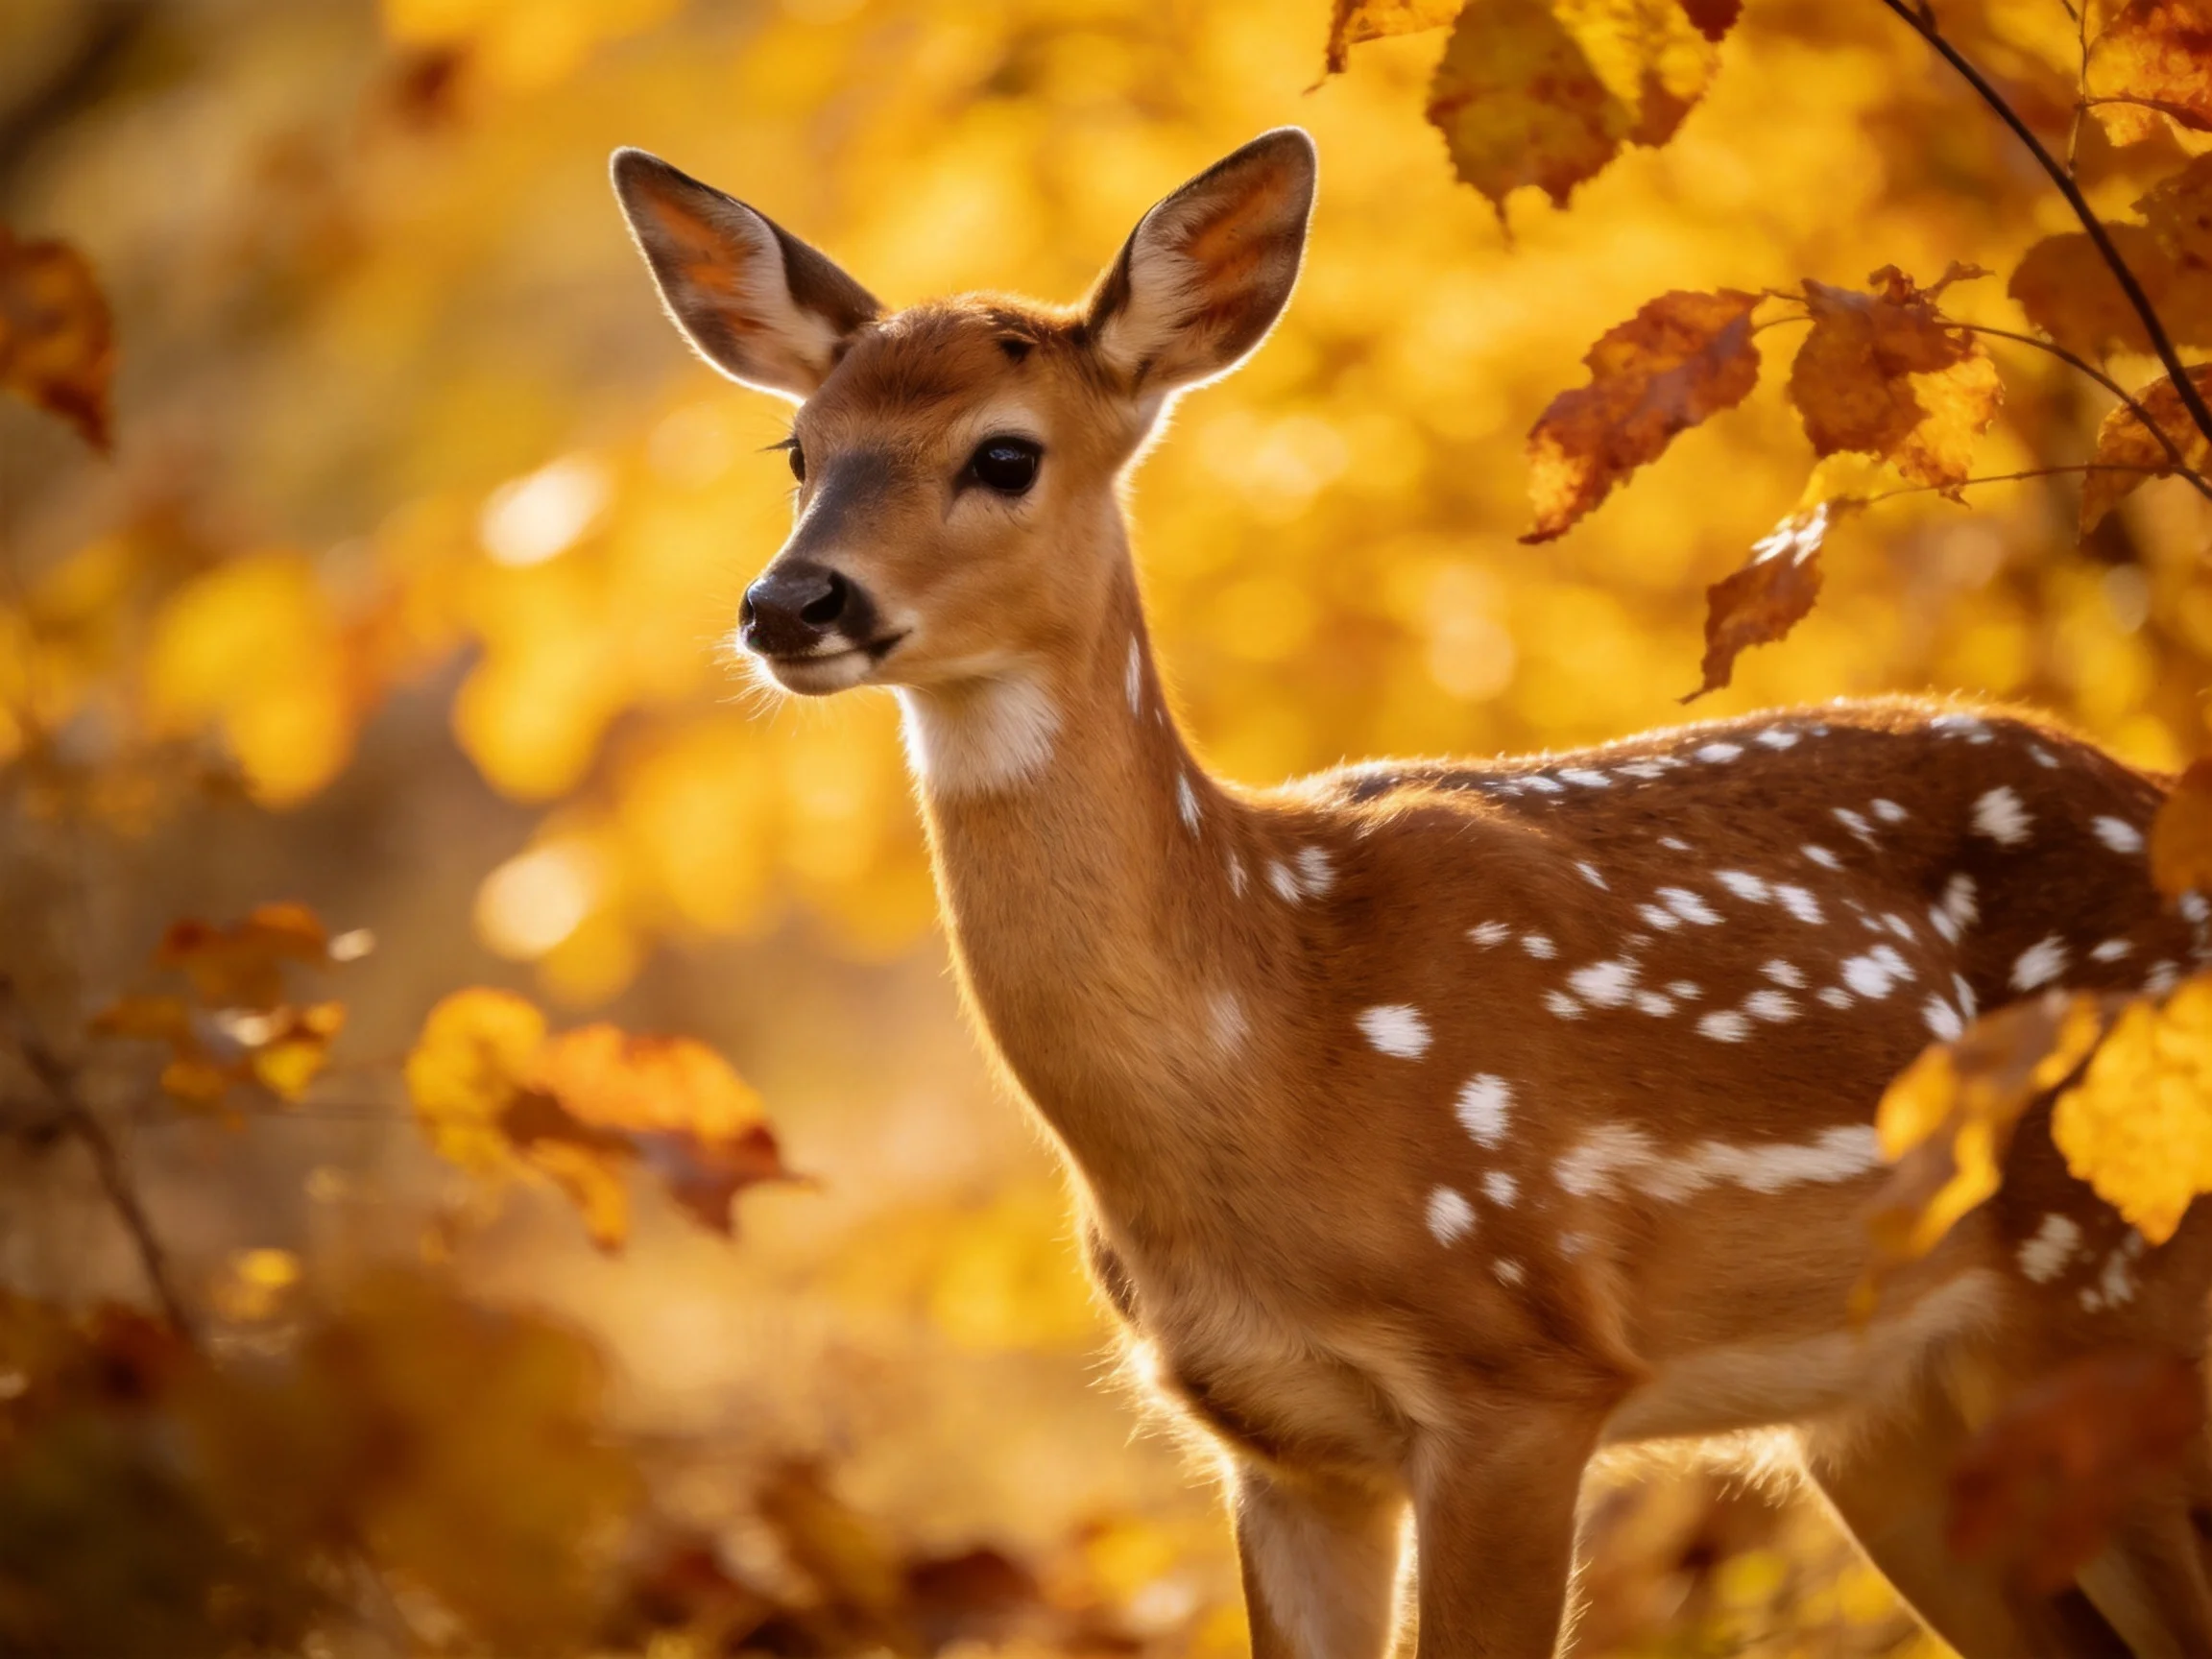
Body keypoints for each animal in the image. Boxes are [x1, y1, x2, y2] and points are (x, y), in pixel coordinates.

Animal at [612, 128, 2212, 1656]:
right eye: (800, 448)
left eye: (1004, 456)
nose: (790, 603)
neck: (1271, 1037)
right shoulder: (1280, 1442)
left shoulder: (1524, 1369)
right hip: (1895, 1420)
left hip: (2123, 1302)